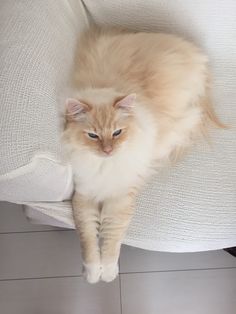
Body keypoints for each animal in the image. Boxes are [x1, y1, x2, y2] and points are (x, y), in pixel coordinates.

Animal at [63, 27, 223, 284]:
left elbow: (111, 241)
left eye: (117, 133)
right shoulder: (84, 196)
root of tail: (194, 51)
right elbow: (88, 243)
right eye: (93, 136)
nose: (108, 151)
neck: (106, 167)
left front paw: (108, 274)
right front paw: (92, 274)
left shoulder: (120, 199)